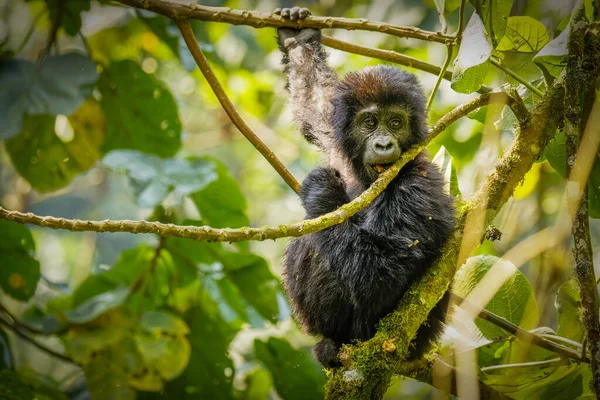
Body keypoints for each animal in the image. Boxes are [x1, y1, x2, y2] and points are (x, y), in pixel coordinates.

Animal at [276, 7, 454, 368]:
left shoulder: (418, 188)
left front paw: (321, 191)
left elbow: (379, 275)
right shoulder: (336, 134)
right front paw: (297, 38)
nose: (384, 143)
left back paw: (334, 345)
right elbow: (316, 101)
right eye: (370, 123)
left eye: (396, 122)